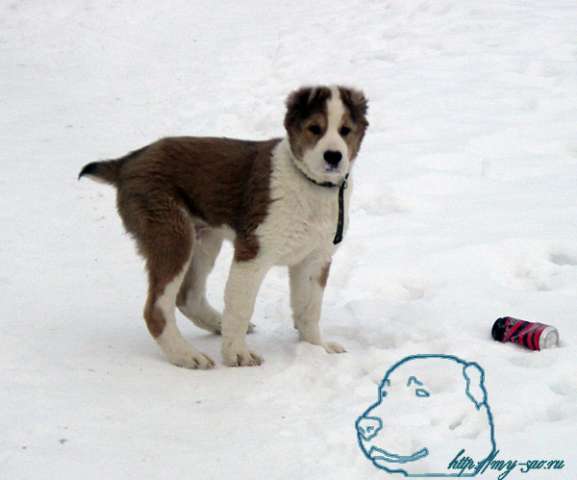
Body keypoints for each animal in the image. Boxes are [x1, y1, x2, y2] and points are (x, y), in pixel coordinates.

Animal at [80, 86, 368, 368]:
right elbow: (241, 306)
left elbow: (309, 308)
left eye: (345, 130)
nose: (333, 156)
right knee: (157, 309)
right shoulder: (253, 253)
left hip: (204, 239)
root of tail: (127, 161)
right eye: (314, 128)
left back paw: (216, 324)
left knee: (188, 297)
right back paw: (186, 355)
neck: (310, 184)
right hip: (173, 234)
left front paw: (317, 348)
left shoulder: (315, 259)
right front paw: (237, 354)